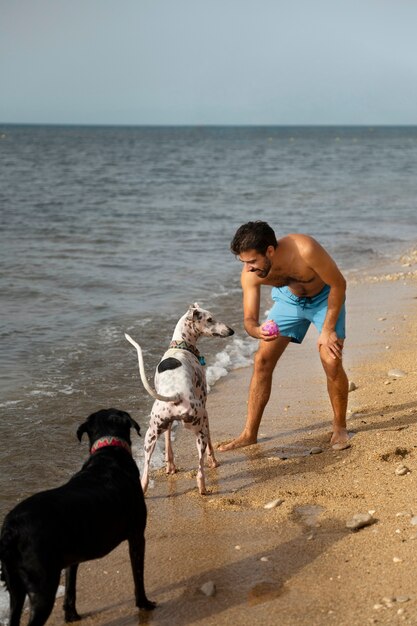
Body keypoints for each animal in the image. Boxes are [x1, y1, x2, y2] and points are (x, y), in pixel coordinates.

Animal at [0, 408, 155, 620]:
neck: (108, 452)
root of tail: (11, 529)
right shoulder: (137, 536)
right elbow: (138, 575)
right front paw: (144, 603)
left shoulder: (71, 558)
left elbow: (70, 586)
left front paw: (71, 614)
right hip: (42, 584)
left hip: (15, 586)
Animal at [125, 302, 232, 492]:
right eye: (210, 319)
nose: (231, 330)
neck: (180, 346)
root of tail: (175, 394)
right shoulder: (206, 411)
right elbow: (212, 444)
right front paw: (214, 461)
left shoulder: (167, 424)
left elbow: (168, 439)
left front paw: (170, 466)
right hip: (199, 430)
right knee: (199, 468)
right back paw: (203, 488)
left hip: (150, 436)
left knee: (145, 475)